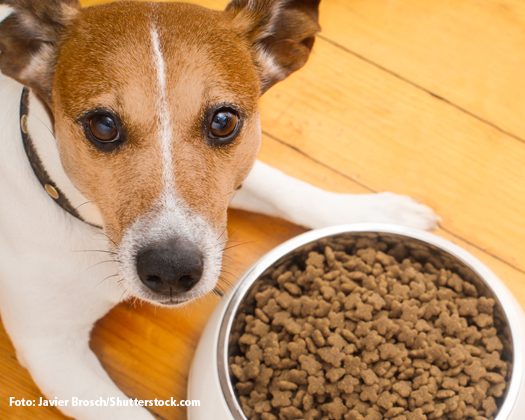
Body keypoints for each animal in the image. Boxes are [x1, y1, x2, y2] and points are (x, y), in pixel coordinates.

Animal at [0, 0, 436, 420]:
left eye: (224, 121)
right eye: (103, 126)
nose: (172, 270)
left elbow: (279, 188)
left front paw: (378, 212)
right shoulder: (52, 351)